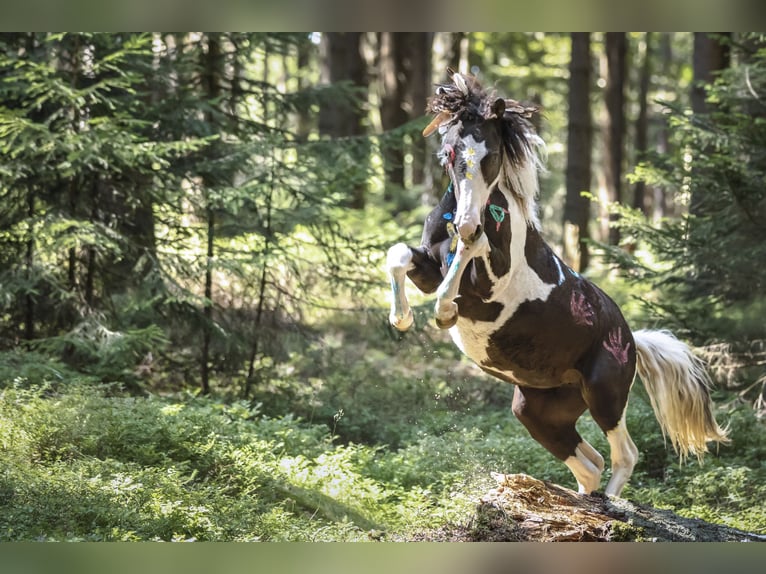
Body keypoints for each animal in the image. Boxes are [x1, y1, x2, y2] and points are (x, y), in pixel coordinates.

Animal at [388, 70, 728, 498]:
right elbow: (398, 254)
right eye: (450, 152)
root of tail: (632, 338)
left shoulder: (488, 286)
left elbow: (467, 257)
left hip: (604, 394)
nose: (468, 222)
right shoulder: (431, 268)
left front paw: (444, 312)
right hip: (539, 411)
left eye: (491, 155)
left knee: (624, 455)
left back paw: (610, 507)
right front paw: (400, 319)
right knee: (591, 465)